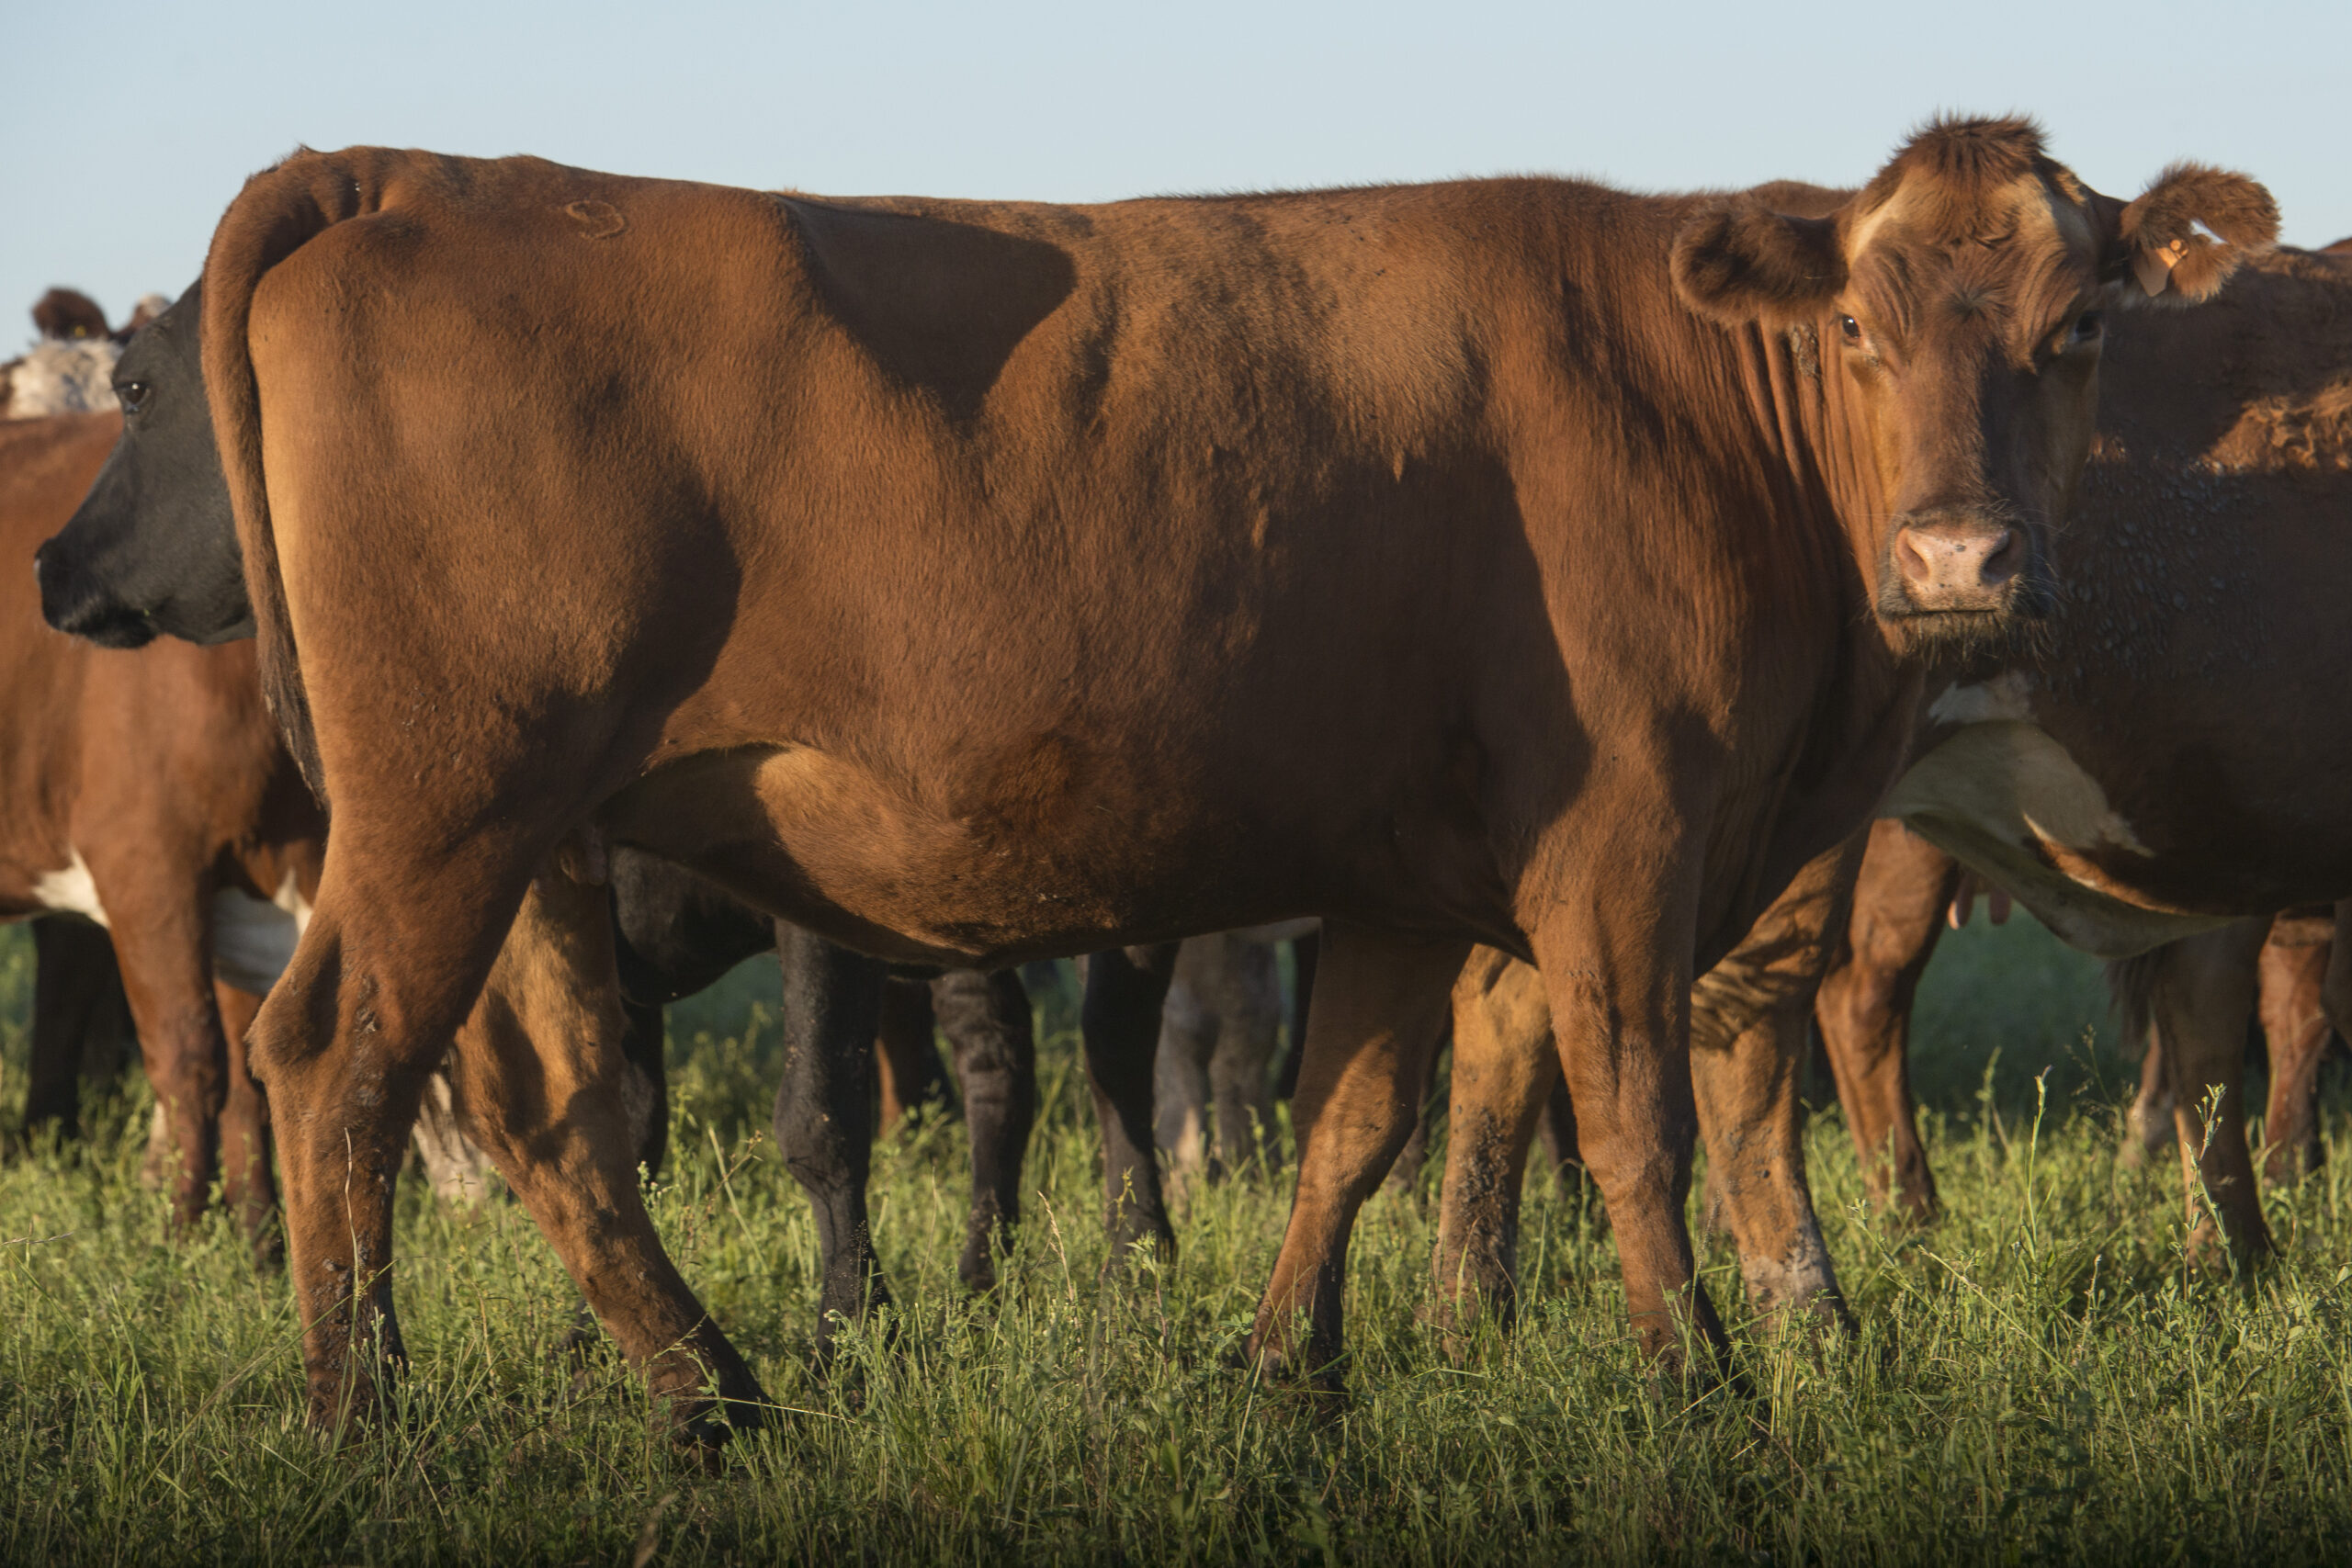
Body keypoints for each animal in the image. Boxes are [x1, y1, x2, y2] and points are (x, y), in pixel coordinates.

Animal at [1, 411, 326, 1259]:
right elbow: (188, 1058)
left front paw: (255, 1239)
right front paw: (180, 1233)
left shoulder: (247, 880)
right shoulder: (146, 862)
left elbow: (245, 1068)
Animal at [45, 119, 2267, 1438]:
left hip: (531, 840)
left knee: (548, 1106)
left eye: (2078, 325)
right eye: (1864, 329)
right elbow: (1630, 1115)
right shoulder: (1625, 851)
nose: (1961, 563)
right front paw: (1696, 1383)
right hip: (445, 812)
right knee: (334, 1065)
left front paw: (1289, 1377)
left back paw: (720, 1396)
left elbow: (1352, 1121)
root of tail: (404, 168)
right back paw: (364, 1417)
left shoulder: (1394, 872)